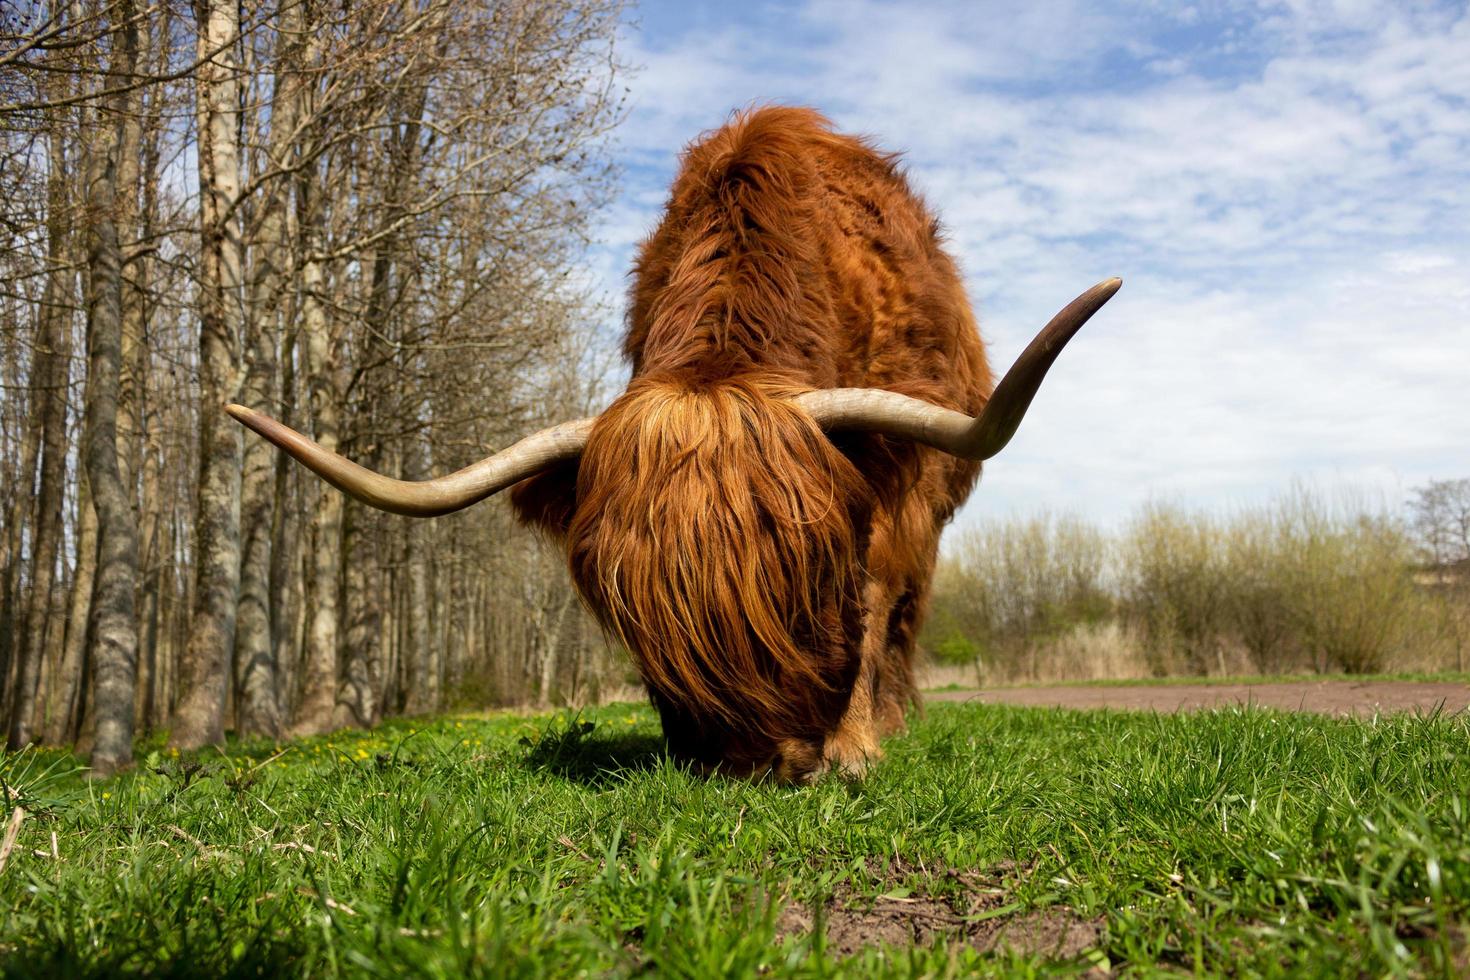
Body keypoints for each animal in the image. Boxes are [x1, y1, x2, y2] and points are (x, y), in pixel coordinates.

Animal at [232, 107, 1123, 781]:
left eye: (812, 573)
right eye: (632, 603)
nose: (759, 760)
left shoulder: (895, 496)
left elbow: (875, 599)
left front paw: (856, 744)